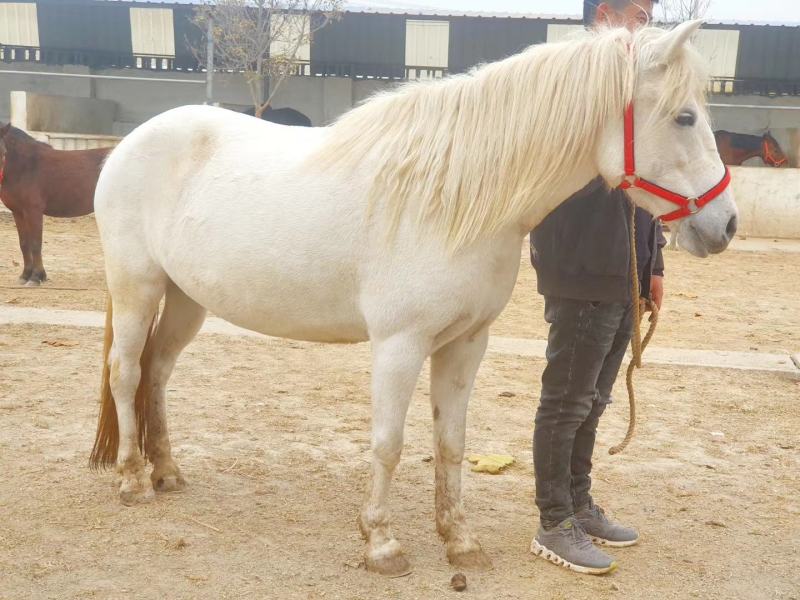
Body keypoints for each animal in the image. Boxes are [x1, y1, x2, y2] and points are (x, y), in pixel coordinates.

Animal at [0, 123, 111, 285]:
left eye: (4, 152)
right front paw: (25, 276)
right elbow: (24, 243)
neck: (25, 166)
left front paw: (36, 277)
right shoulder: (18, 212)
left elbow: (36, 244)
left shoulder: (33, 211)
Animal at [89, 21, 737, 576]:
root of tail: (129, 144)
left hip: (186, 300)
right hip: (137, 287)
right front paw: (381, 543)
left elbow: (451, 444)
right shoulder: (399, 345)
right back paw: (133, 481)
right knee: (126, 371)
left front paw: (461, 541)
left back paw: (168, 471)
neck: (453, 196)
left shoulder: (466, 345)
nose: (726, 225)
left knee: (158, 372)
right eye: (684, 117)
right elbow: (389, 444)